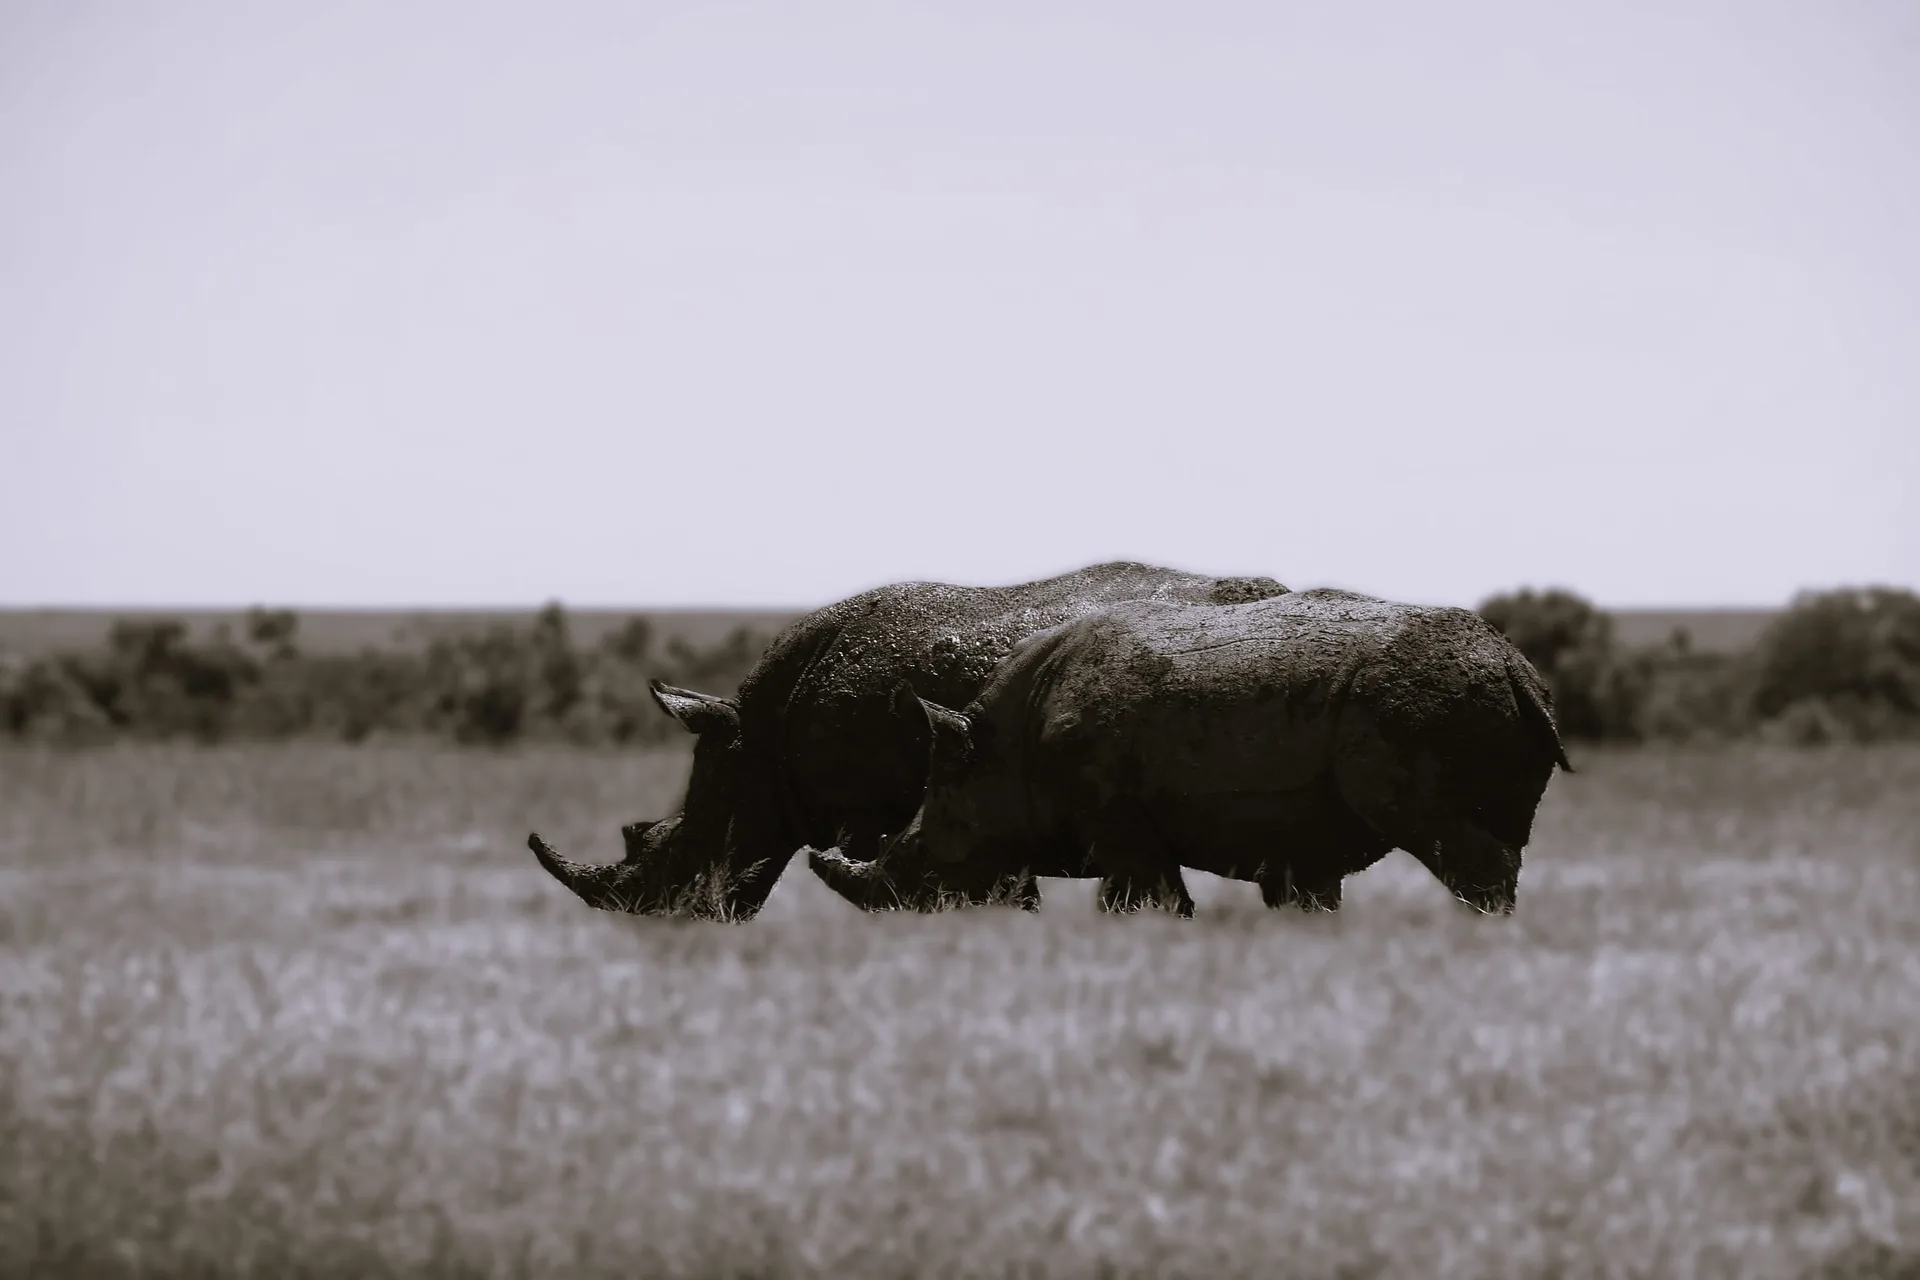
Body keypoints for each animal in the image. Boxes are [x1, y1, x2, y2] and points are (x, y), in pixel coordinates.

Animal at [807, 588, 1575, 917]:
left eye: (925, 845)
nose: (895, 913)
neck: (996, 750)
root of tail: (1514, 665)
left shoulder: (1115, 818)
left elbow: (1148, 899)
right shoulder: (1296, 839)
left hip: (1419, 705)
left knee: (1450, 842)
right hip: (1463, 694)